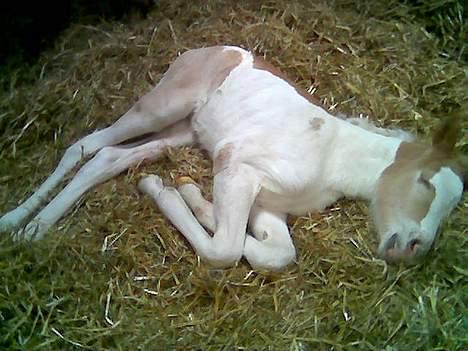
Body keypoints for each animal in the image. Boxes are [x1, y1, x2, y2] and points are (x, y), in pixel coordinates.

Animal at [0, 45, 462, 270]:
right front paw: (177, 194)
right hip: (162, 107)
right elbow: (224, 248)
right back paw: (21, 223)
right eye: (424, 181)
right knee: (85, 144)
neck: (334, 158)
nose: (413, 247)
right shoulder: (236, 168)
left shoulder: (269, 206)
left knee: (109, 157)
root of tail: (213, 47)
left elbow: (275, 253)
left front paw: (173, 190)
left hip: (180, 132)